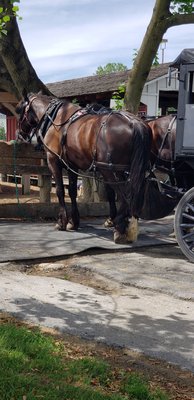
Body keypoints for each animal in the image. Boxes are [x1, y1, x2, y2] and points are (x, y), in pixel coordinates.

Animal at [15, 90, 152, 244]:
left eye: (19, 110)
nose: (20, 134)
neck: (57, 119)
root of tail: (134, 123)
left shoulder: (53, 161)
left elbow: (60, 191)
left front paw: (62, 221)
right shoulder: (71, 165)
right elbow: (72, 192)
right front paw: (73, 222)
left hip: (110, 171)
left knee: (124, 196)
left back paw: (120, 229)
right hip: (125, 170)